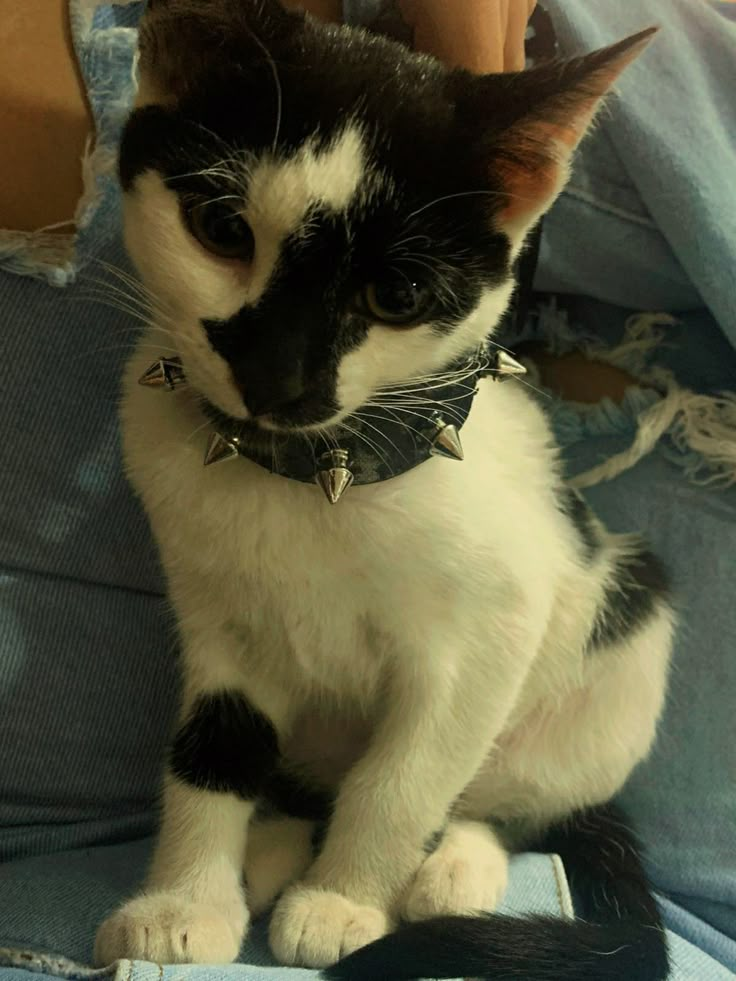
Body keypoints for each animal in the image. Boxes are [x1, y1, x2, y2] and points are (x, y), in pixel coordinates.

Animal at [95, 3, 676, 976]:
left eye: (396, 294)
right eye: (222, 229)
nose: (278, 378)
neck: (310, 475)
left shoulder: (491, 633)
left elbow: (403, 779)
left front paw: (343, 900)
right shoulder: (217, 616)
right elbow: (213, 747)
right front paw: (183, 904)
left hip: (623, 636)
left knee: (506, 804)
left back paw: (452, 869)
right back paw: (274, 846)